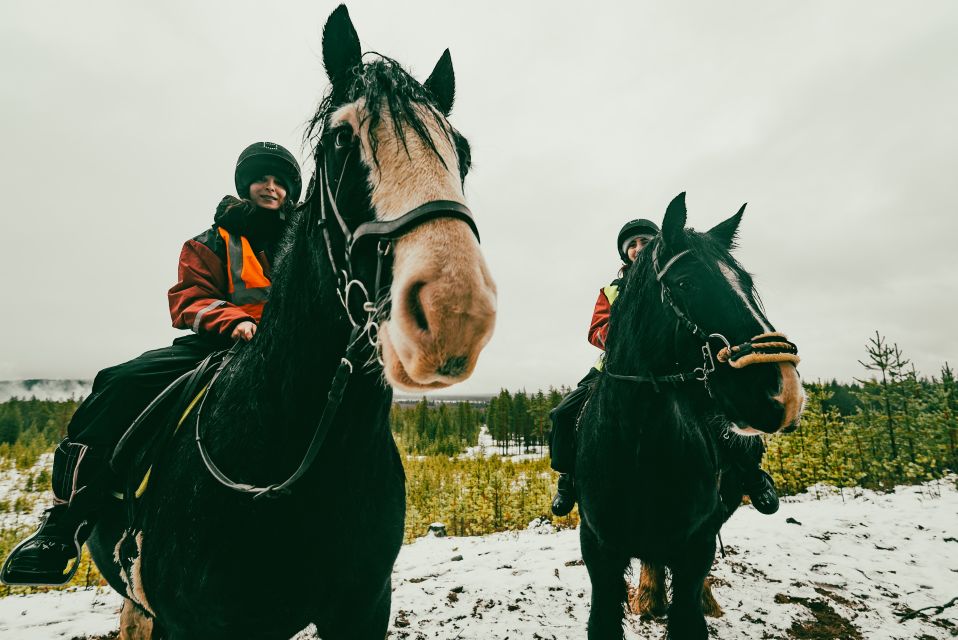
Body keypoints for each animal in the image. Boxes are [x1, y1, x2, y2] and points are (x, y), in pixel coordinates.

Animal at [576, 192, 808, 636]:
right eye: (686, 283)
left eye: (747, 283)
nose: (785, 391)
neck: (639, 447)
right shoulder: (599, 548)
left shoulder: (696, 542)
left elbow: (688, 611)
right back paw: (649, 595)